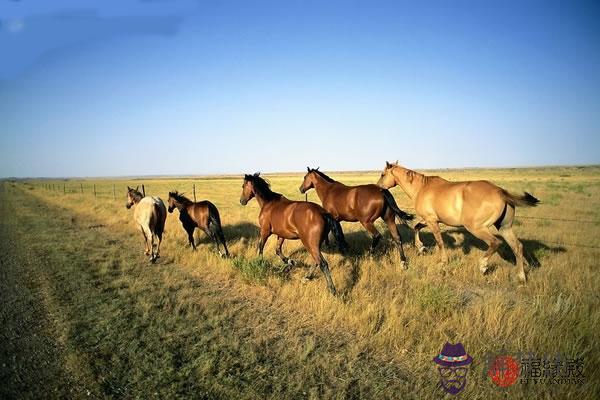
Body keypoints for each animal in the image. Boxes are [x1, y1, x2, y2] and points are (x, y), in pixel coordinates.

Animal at [376, 161, 540, 282]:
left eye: (383, 174)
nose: (378, 188)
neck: (421, 188)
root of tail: (500, 192)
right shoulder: (431, 220)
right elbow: (417, 227)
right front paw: (421, 247)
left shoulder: (432, 221)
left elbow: (439, 242)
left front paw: (442, 262)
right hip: (504, 228)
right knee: (517, 247)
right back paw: (521, 277)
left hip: (477, 228)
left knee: (495, 242)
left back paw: (483, 265)